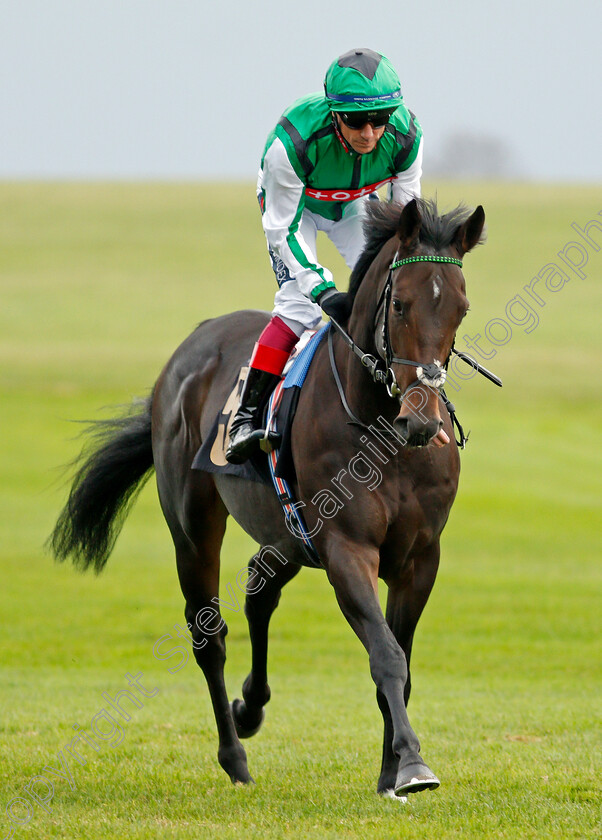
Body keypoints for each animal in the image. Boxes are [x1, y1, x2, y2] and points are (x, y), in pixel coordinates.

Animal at [49, 199, 486, 800]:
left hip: (287, 532)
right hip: (194, 526)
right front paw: (413, 764)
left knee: (260, 587)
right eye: (399, 304)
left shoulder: (419, 557)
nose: (422, 419)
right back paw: (234, 756)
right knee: (208, 635)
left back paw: (250, 707)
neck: (382, 433)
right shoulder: (347, 549)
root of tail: (195, 341)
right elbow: (387, 656)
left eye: (461, 309)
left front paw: (390, 772)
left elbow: (402, 664)